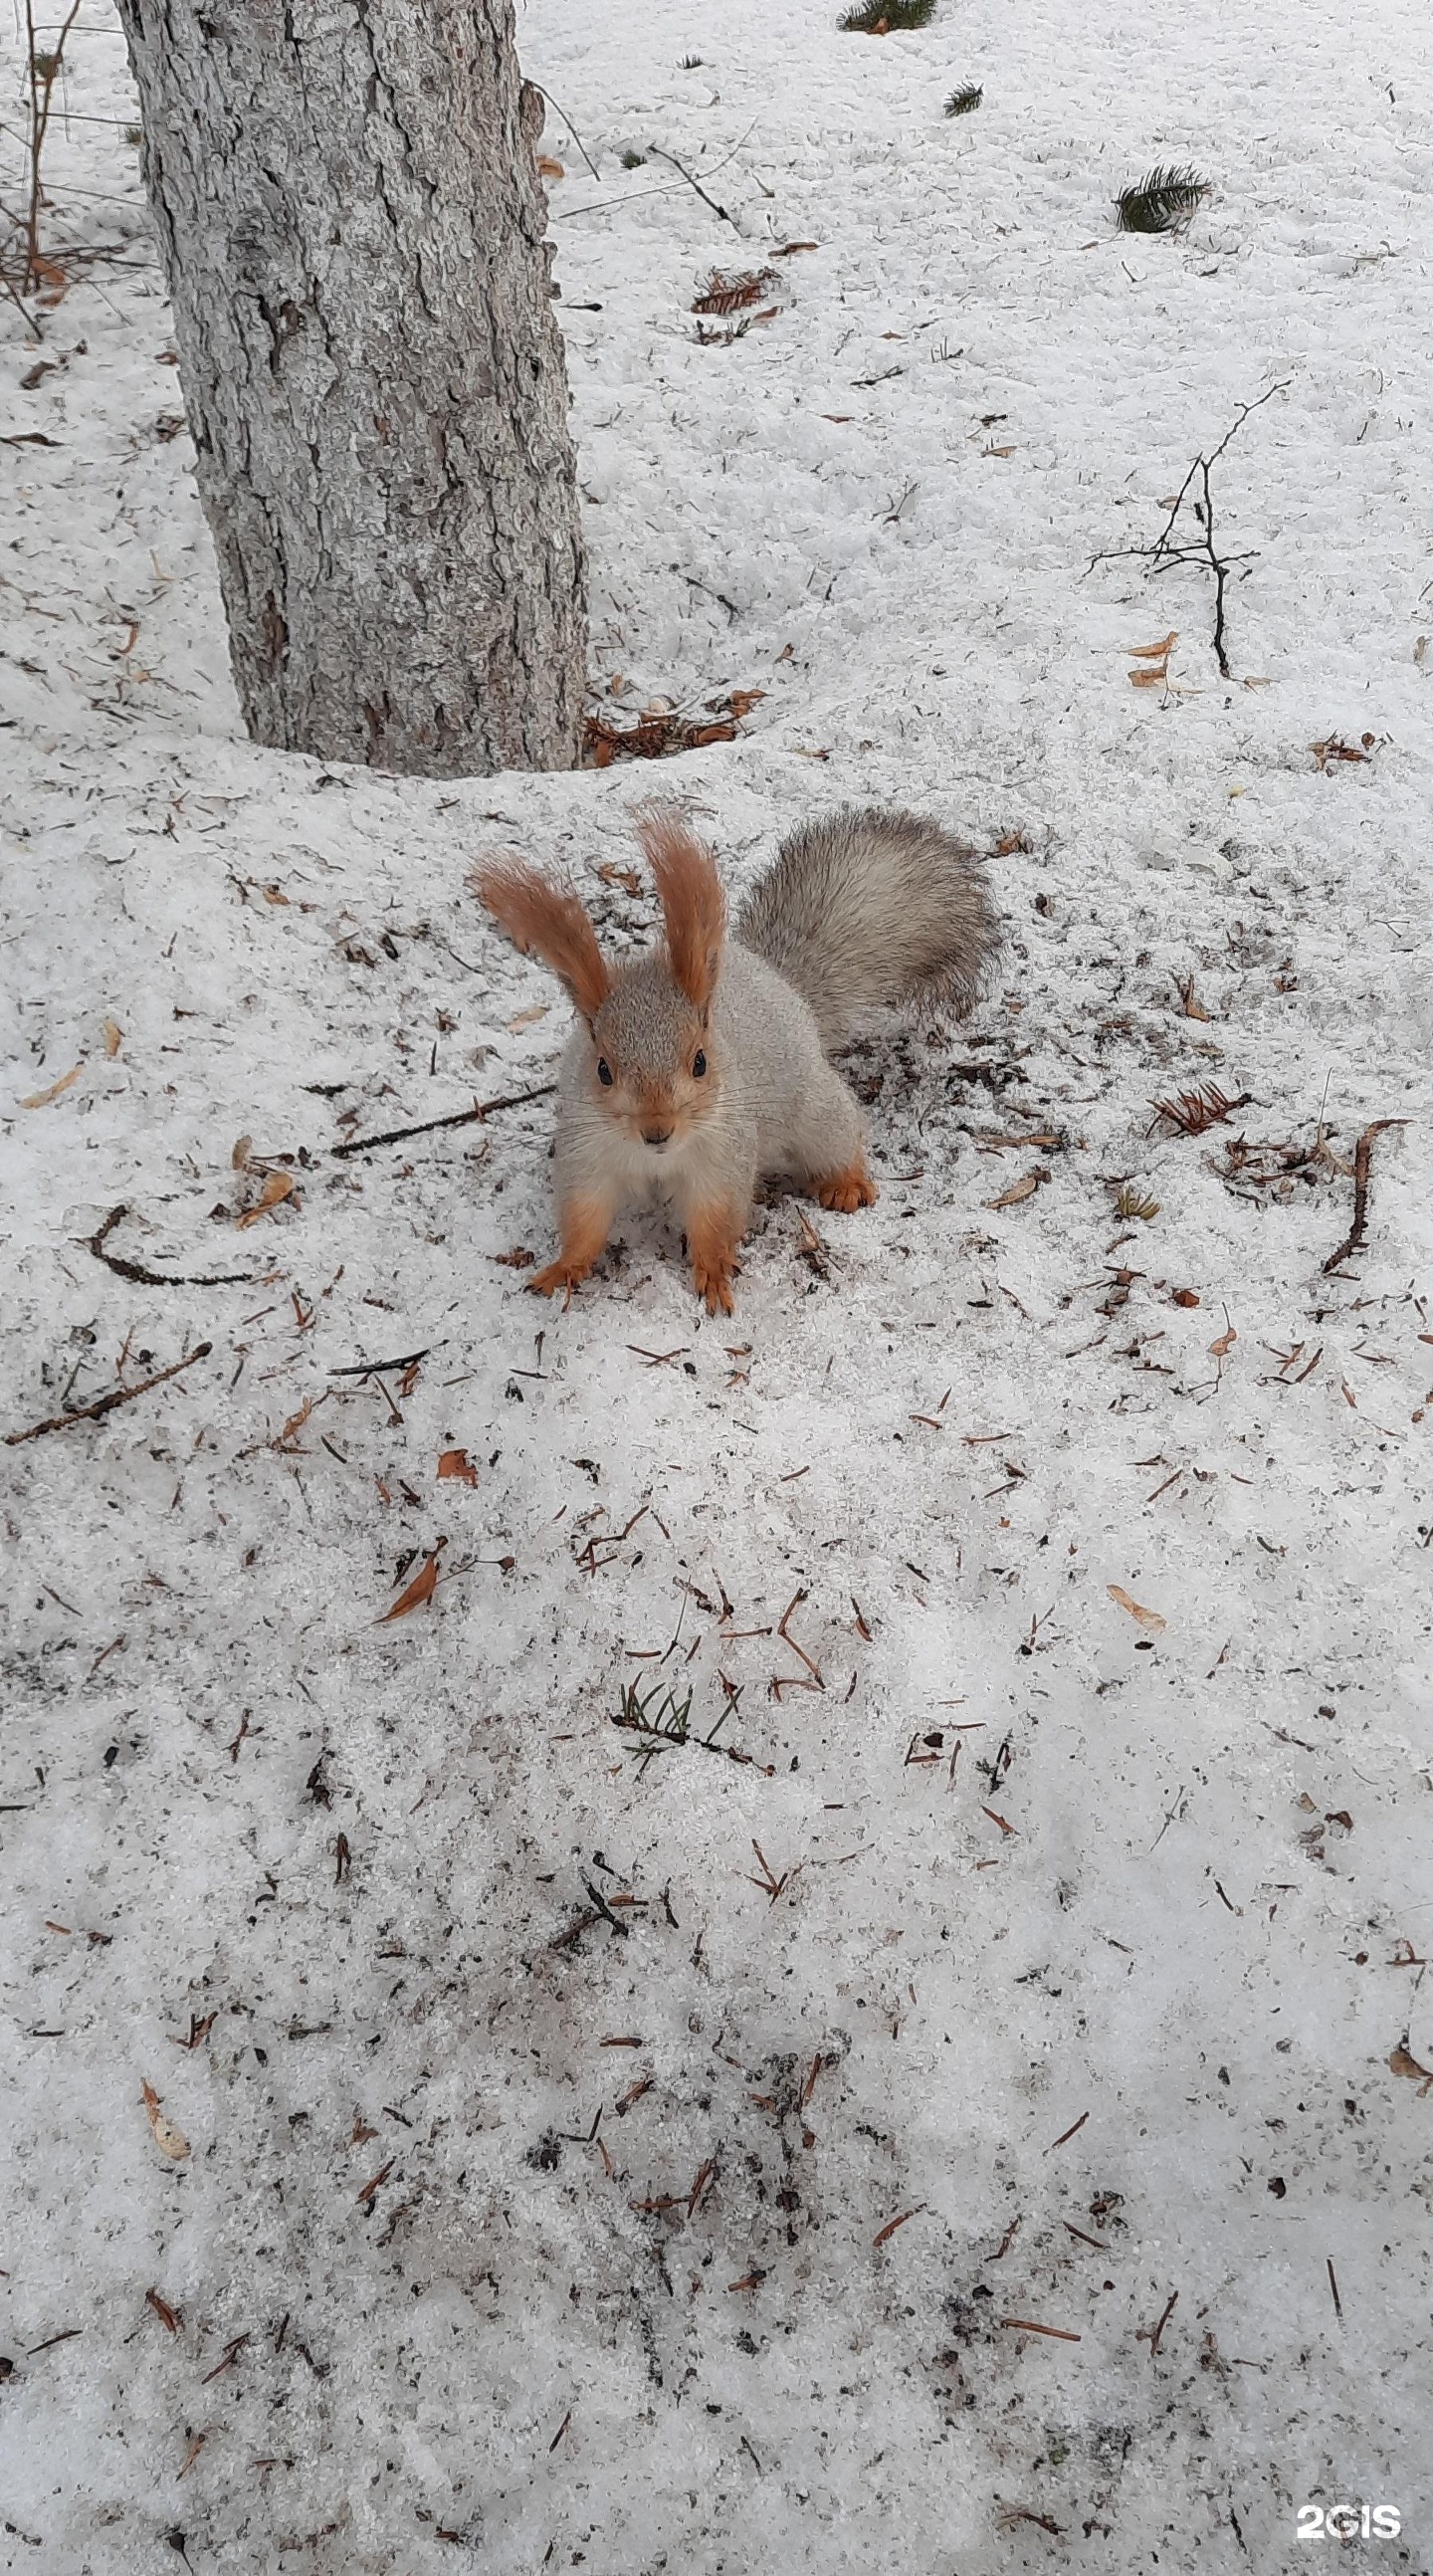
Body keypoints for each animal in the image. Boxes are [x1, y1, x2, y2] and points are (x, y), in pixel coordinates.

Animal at [469, 803, 994, 1319]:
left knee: (843, 1133)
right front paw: (564, 1268)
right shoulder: (586, 1151)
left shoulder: (723, 1152)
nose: (656, 1131)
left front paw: (715, 1273)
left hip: (814, 1110)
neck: (656, 1161)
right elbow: (584, 1216)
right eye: (602, 1070)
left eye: (700, 1062)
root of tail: (778, 979)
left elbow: (715, 1217)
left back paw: (847, 1183)